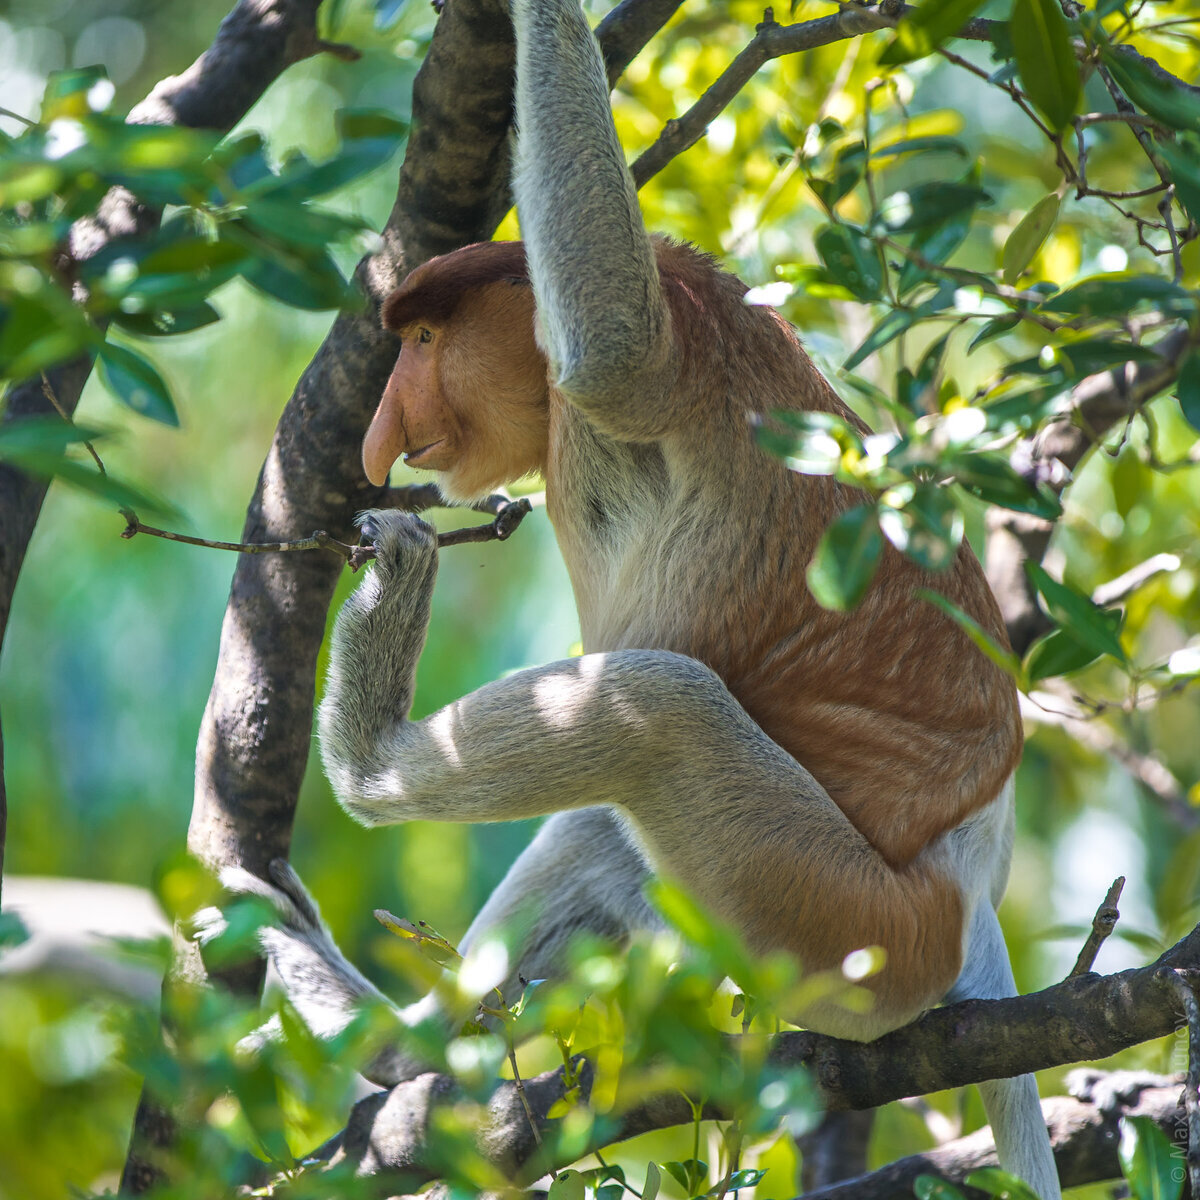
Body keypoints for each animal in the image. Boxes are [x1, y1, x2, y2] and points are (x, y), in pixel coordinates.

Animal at [234, 0, 1060, 1190]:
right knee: (607, 813)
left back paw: (367, 747)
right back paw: (390, 1039)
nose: (382, 435)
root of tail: (973, 891)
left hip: (846, 930)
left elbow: (615, 351)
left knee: (653, 707)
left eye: (426, 340)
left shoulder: (688, 331)